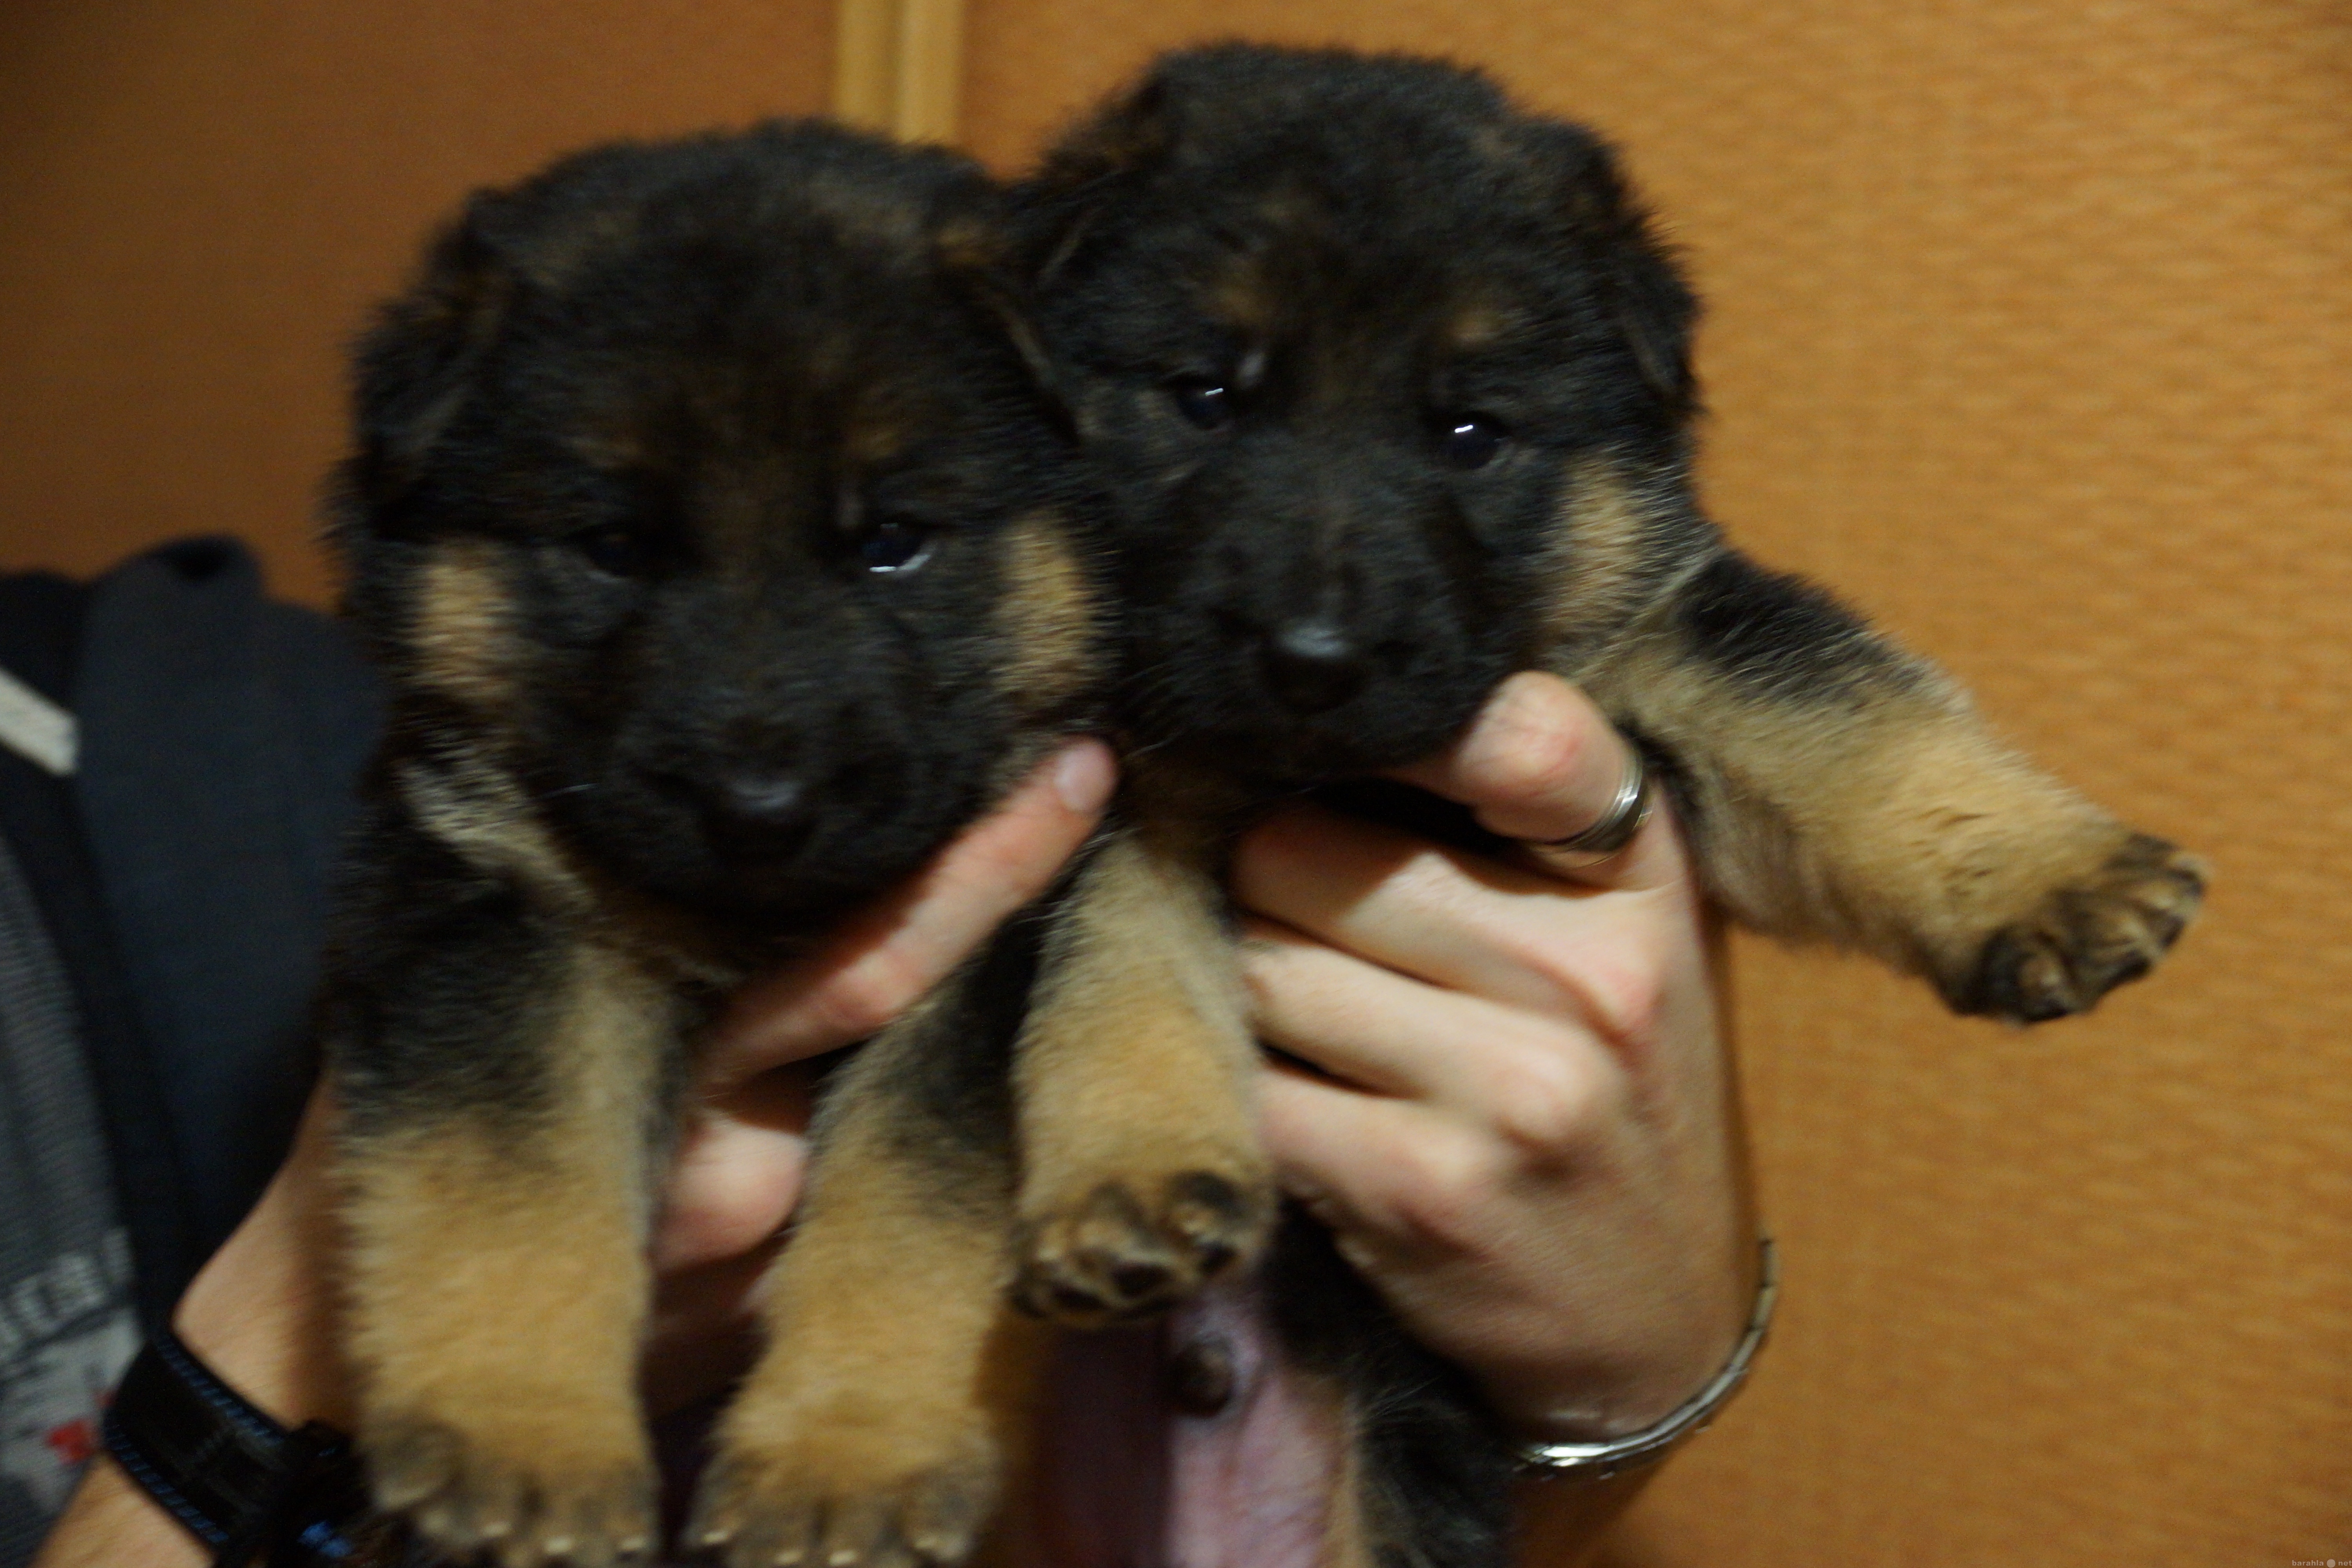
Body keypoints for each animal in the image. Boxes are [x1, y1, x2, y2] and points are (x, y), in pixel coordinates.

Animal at [318, 125, 1105, 1568]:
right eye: (615, 546)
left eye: (893, 542)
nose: (762, 810)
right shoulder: (495, 904)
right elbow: (514, 1168)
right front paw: (523, 1439)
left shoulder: (982, 961)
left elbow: (914, 1203)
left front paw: (846, 1452)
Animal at [960, 43, 2201, 1568]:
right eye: (1203, 397)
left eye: (1469, 431)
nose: (1314, 658)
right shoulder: (1121, 775)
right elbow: (1116, 961)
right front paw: (1130, 1172)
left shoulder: (1657, 633)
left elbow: (1843, 711)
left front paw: (2046, 872)